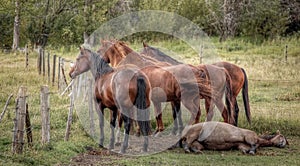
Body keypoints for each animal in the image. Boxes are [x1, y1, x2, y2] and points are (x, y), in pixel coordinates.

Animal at [98, 40, 234, 136]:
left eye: (100, 50)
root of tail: (222, 70)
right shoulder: (168, 100)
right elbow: (168, 115)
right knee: (221, 113)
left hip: (205, 99)